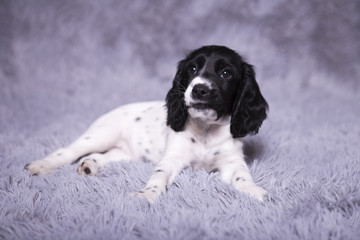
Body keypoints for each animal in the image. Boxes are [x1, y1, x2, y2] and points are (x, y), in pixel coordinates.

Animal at [25, 45, 268, 202]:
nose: (199, 89)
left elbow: (242, 176)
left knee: (102, 155)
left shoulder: (232, 161)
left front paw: (255, 191)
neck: (205, 129)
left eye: (226, 73)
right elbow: (158, 177)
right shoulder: (171, 159)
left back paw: (90, 165)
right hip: (100, 135)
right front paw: (147, 195)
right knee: (68, 151)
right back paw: (41, 165)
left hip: (126, 152)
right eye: (192, 69)